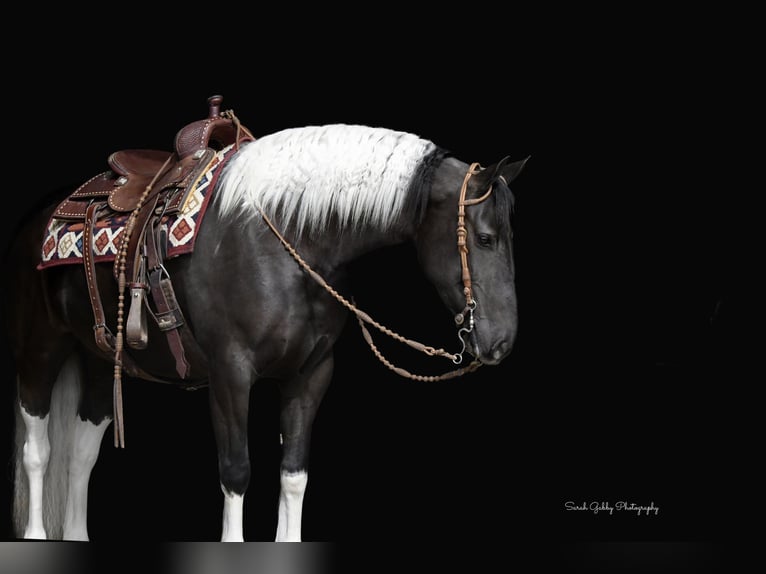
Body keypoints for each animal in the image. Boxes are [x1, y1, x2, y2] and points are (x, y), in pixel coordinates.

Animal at [3, 97, 527, 541]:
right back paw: (36, 535)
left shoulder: (310, 375)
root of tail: (42, 216)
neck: (286, 237)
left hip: (95, 359)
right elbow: (236, 472)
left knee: (81, 453)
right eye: (484, 238)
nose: (501, 343)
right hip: (40, 349)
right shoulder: (230, 373)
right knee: (38, 449)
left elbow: (293, 475)